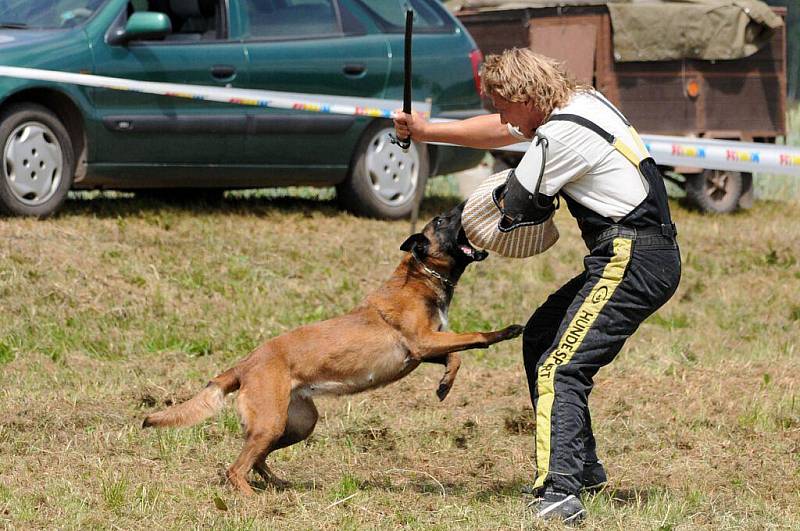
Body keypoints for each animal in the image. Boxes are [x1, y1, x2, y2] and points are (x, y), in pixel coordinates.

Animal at [142, 204, 524, 494]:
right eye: (443, 220)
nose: (464, 205)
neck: (420, 274)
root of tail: (245, 364)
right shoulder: (423, 341)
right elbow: (475, 336)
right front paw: (506, 331)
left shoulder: (424, 348)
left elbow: (455, 356)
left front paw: (445, 385)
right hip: (270, 423)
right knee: (235, 469)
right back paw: (253, 499)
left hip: (296, 423)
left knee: (258, 459)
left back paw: (279, 483)